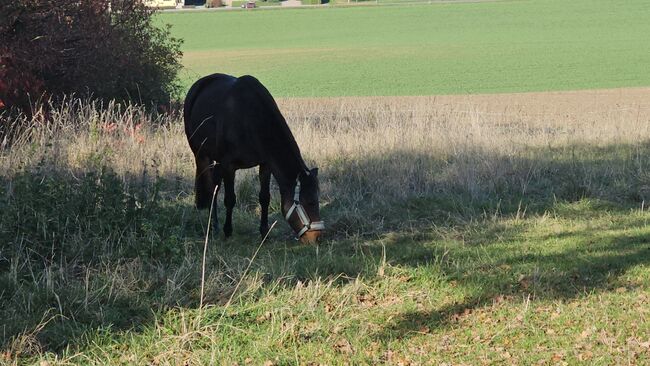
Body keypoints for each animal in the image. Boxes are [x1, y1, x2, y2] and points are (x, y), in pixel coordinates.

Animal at [182, 73, 324, 243]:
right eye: (310, 202)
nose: (317, 237)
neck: (249, 119)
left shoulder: (265, 164)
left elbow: (264, 198)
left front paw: (264, 232)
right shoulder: (229, 166)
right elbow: (230, 199)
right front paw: (227, 231)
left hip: (217, 161)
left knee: (215, 184)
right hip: (201, 155)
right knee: (210, 187)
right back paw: (213, 226)